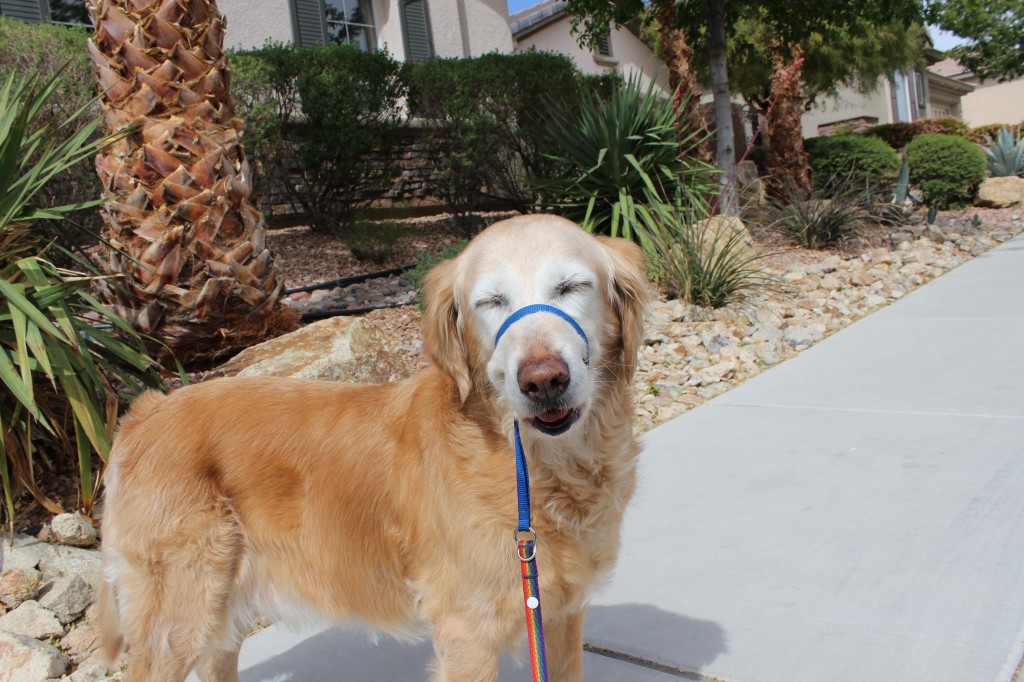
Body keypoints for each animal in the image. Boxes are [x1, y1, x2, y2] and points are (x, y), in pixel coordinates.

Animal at [101, 215, 647, 675]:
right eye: (491, 301)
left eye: (571, 286)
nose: (543, 380)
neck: (536, 468)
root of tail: (146, 410)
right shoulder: (468, 633)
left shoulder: (558, 615)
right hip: (179, 619)